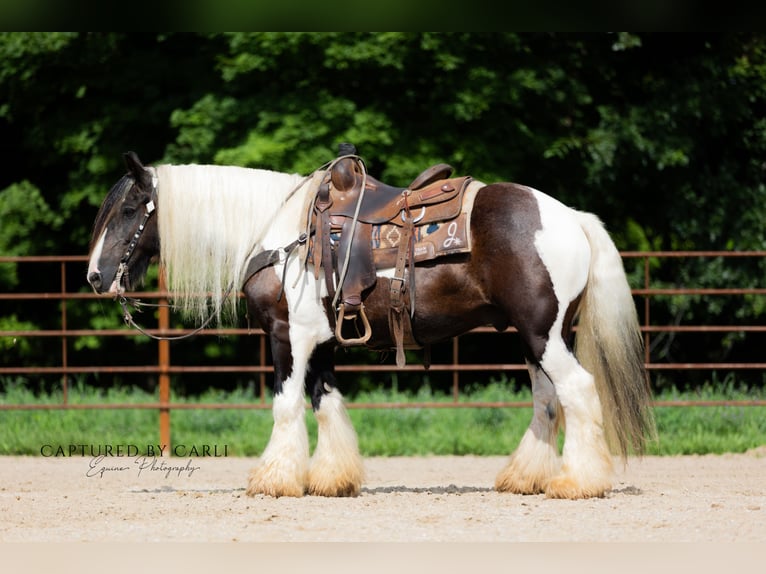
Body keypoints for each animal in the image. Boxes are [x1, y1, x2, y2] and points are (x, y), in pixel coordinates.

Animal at [87, 150, 655, 499]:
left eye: (130, 209)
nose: (94, 276)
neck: (279, 233)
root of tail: (572, 217)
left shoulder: (288, 336)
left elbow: (287, 404)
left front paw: (274, 479)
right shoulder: (321, 342)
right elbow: (325, 402)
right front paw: (333, 479)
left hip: (545, 335)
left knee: (577, 392)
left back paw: (577, 482)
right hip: (531, 339)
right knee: (547, 399)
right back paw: (524, 478)